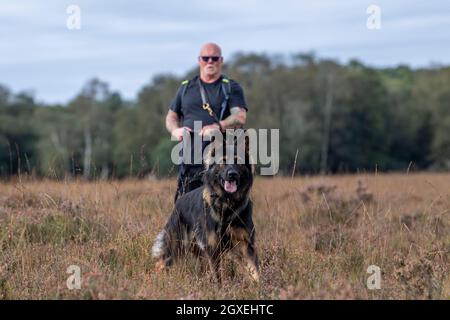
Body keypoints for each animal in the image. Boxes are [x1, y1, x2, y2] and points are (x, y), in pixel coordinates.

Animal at [151, 135, 258, 282]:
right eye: (223, 161)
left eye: (238, 161)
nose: (232, 174)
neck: (227, 204)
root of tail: (179, 201)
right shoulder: (213, 248)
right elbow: (218, 276)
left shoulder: (246, 245)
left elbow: (255, 272)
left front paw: (261, 286)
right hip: (175, 247)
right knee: (159, 264)